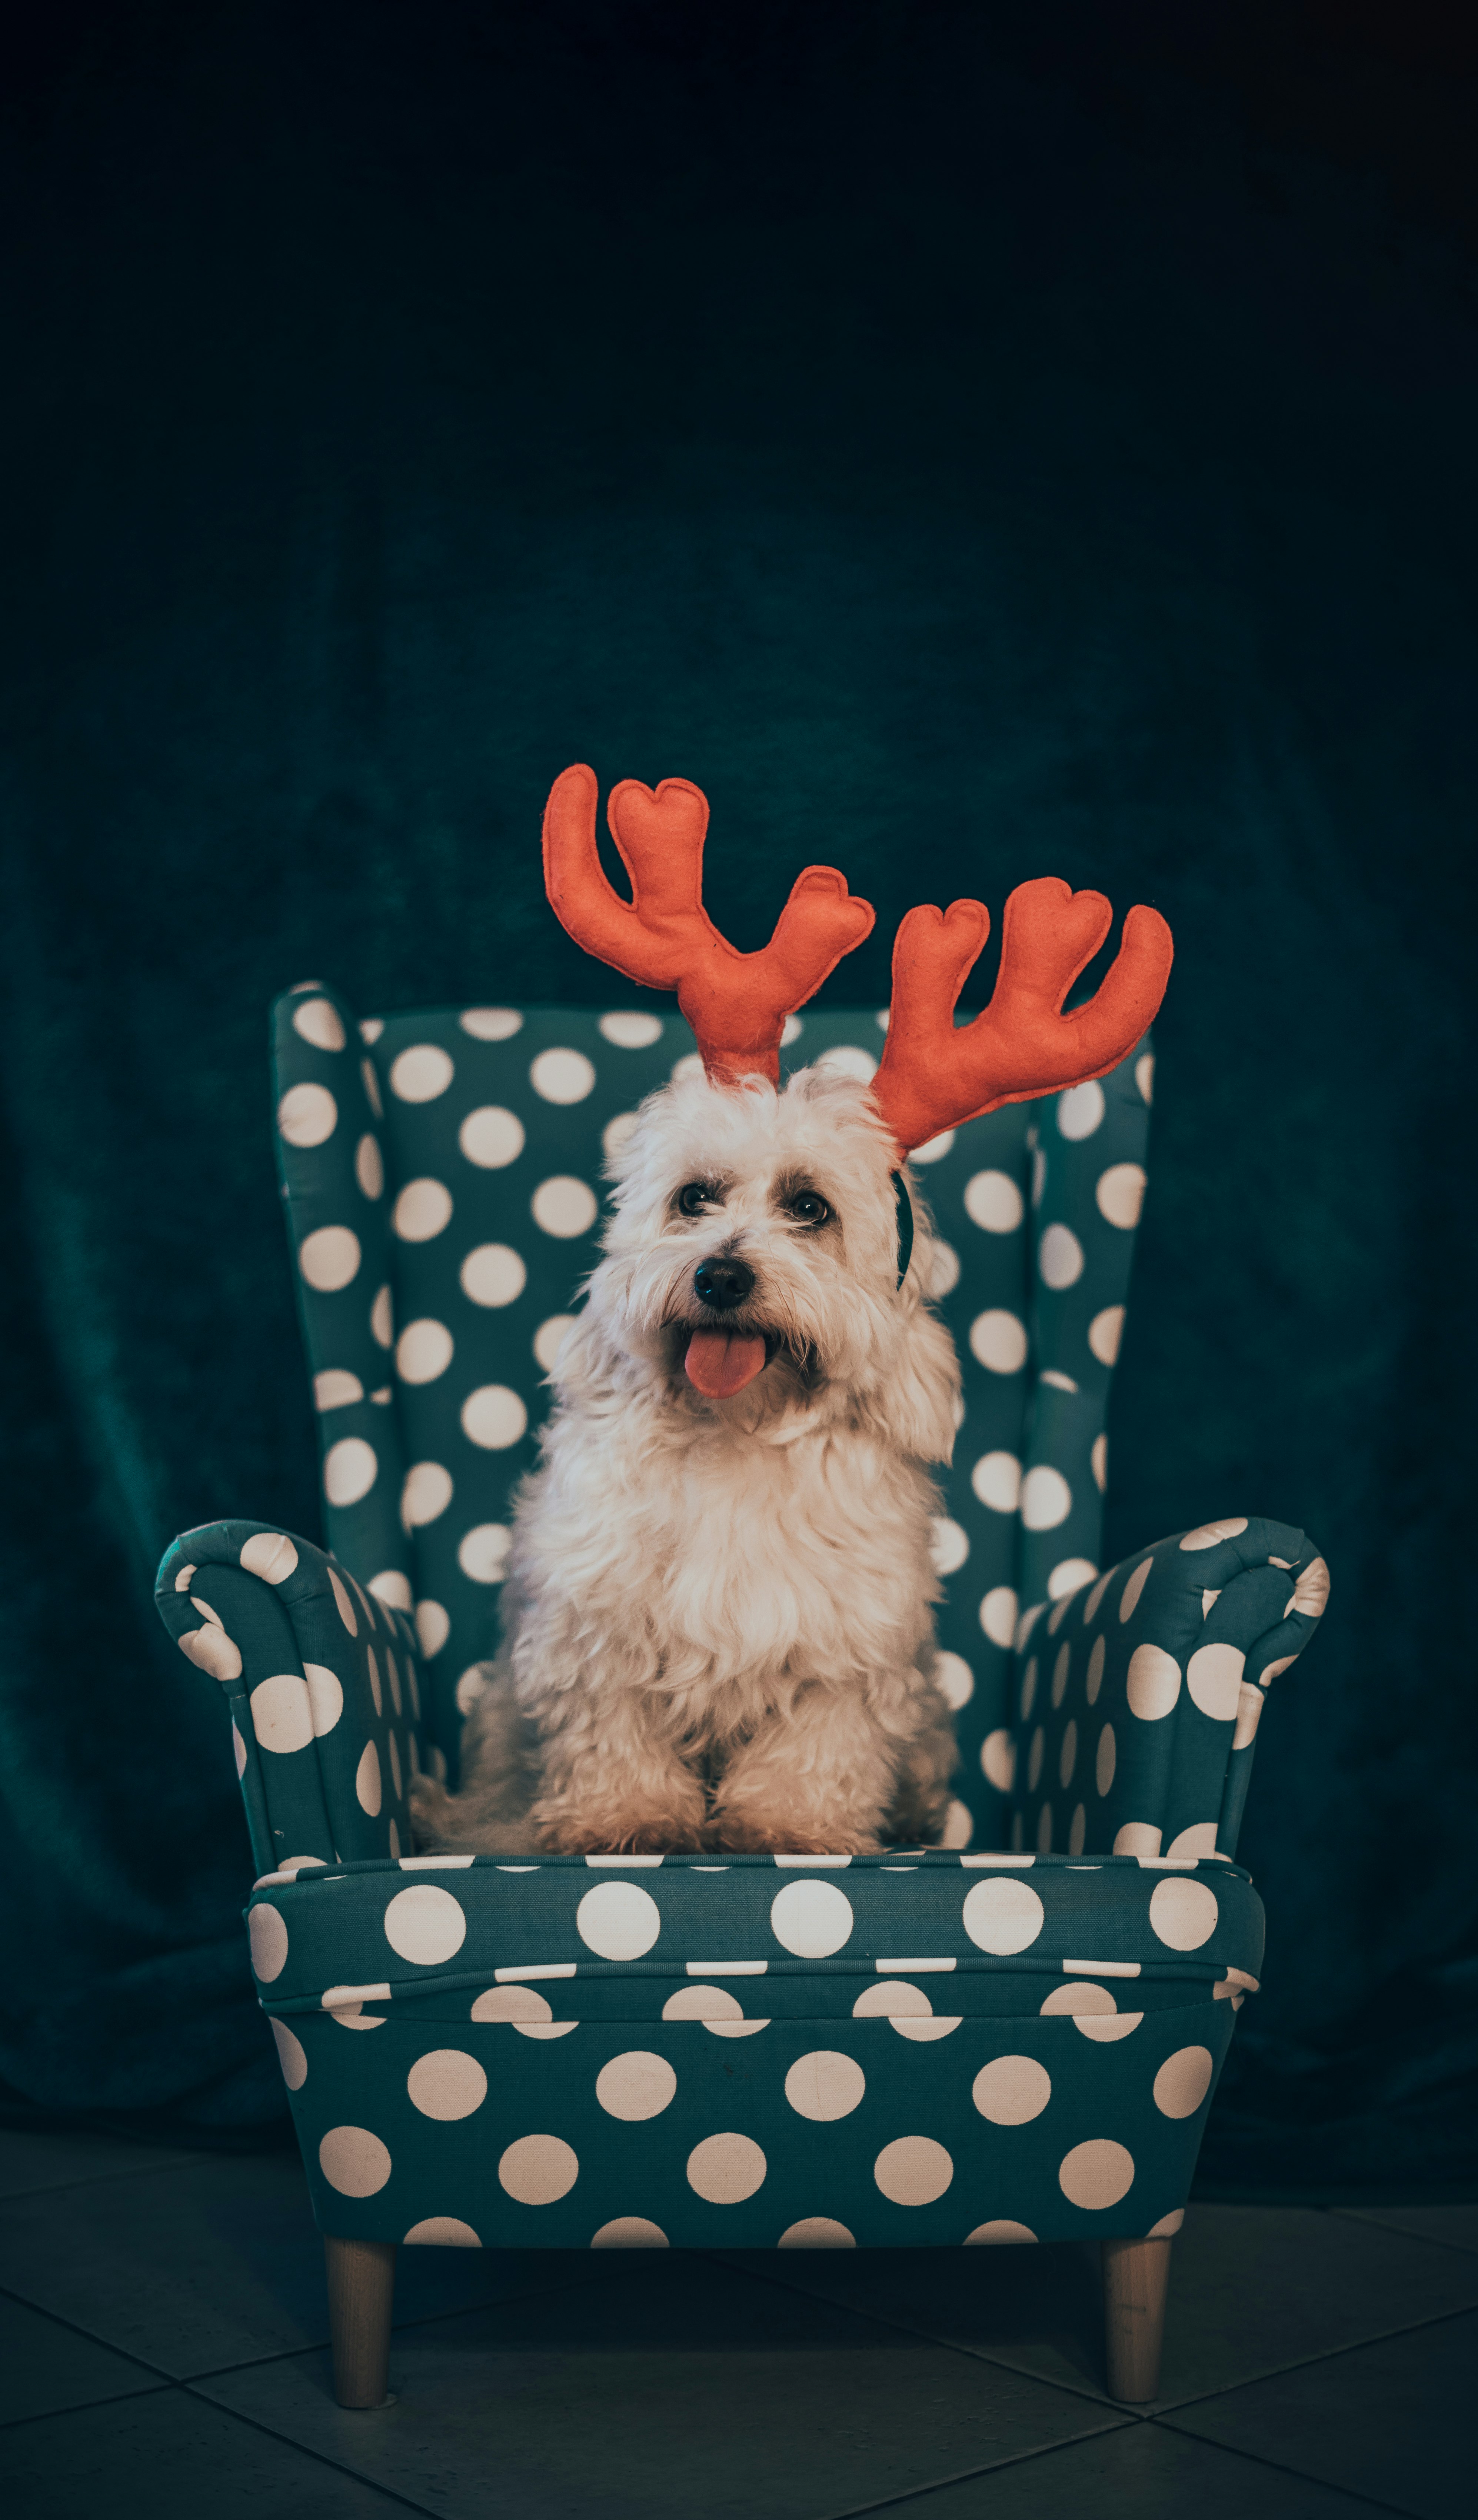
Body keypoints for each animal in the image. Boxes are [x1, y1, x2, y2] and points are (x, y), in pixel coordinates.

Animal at [409, 1053, 958, 1865]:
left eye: (810, 1207)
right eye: (694, 1197)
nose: (721, 1277)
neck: (736, 1432)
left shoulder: (845, 1653)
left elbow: (814, 1753)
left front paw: (784, 1828)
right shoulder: (595, 1629)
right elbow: (613, 1741)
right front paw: (628, 1821)